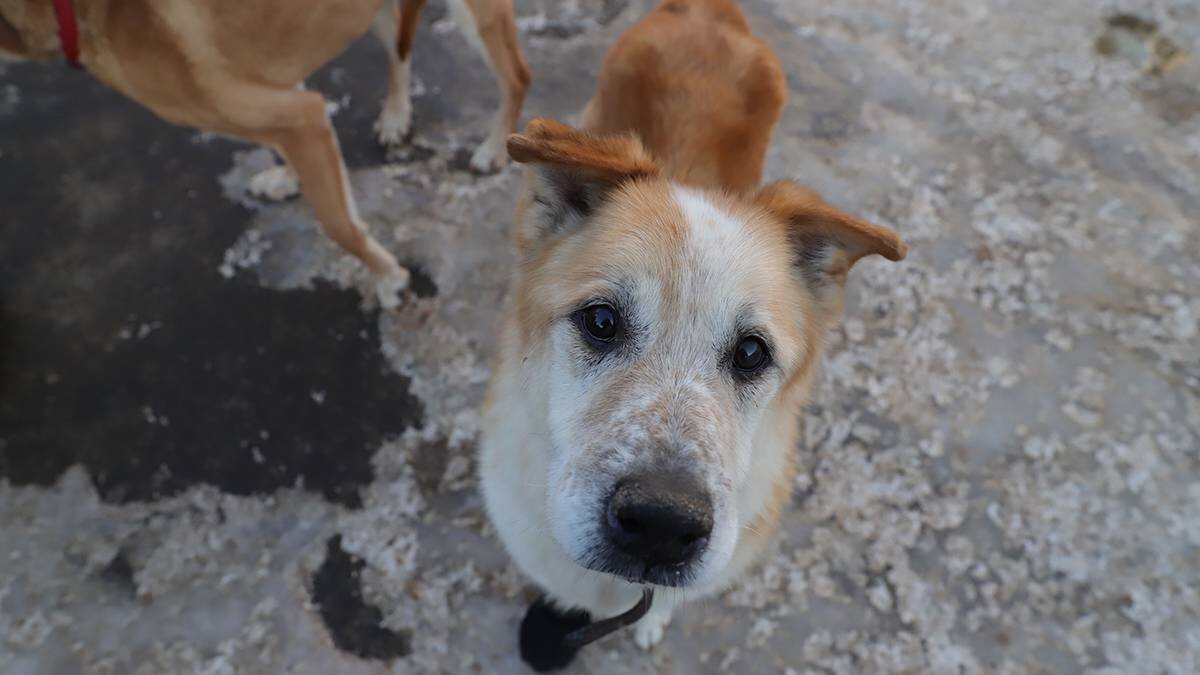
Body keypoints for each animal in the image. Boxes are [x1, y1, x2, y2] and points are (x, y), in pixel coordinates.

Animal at [0, 0, 528, 305]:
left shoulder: (297, 113)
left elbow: (340, 226)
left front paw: (388, 277)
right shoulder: (285, 99)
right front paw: (286, 178)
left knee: (516, 75)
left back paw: (495, 147)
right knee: (401, 48)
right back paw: (396, 115)